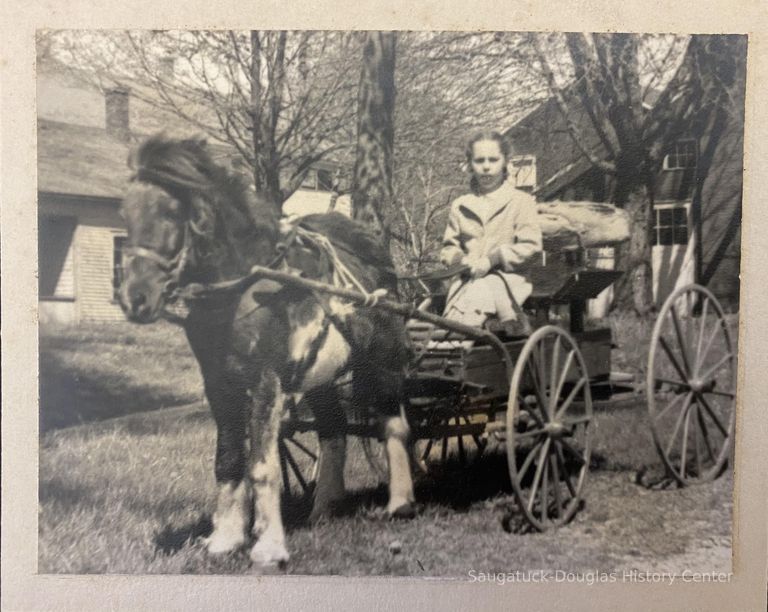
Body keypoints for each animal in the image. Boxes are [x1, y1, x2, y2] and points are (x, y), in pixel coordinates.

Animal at [118, 136, 414, 568]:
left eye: (172, 212)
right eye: (124, 213)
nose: (135, 299)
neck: (245, 286)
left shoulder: (265, 380)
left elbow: (262, 465)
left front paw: (269, 545)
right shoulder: (218, 384)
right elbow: (228, 460)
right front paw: (224, 538)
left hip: (383, 360)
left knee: (393, 424)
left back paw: (400, 502)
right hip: (319, 377)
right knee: (334, 432)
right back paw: (323, 509)